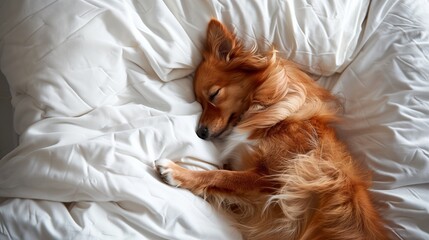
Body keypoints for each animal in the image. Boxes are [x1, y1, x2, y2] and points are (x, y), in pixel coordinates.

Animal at [155, 19, 386, 240]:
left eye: (214, 95)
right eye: (200, 103)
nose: (200, 133)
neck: (274, 117)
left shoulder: (275, 178)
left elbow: (220, 176)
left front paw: (176, 172)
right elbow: (226, 179)